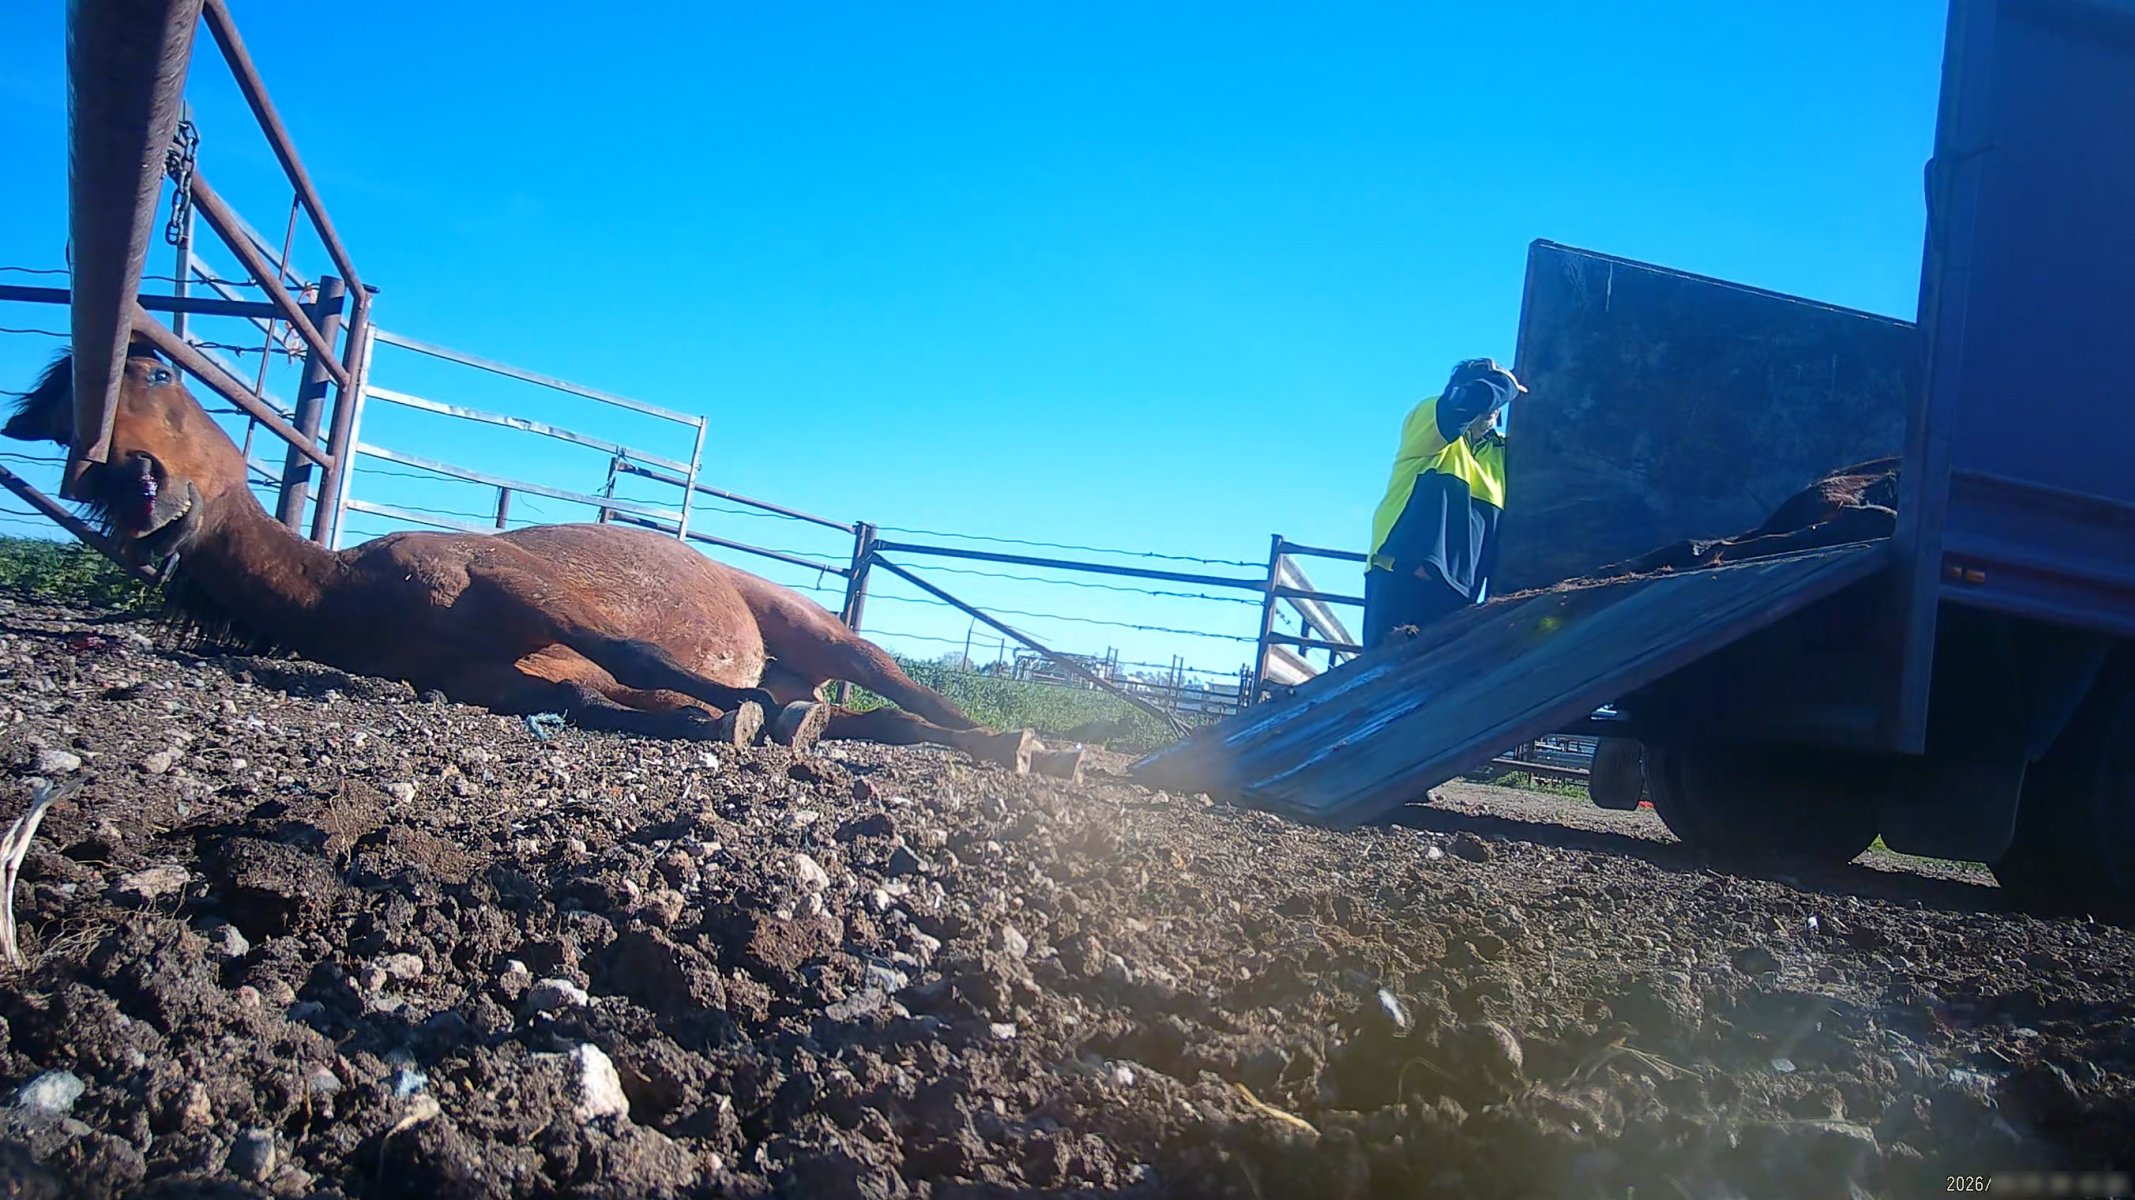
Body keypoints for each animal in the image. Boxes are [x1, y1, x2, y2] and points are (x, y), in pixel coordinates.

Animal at [5, 342, 1063, 774]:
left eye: (153, 370)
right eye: (62, 432)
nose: (140, 495)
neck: (361, 596)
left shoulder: (521, 589)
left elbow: (636, 655)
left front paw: (736, 705)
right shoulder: (509, 683)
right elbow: (608, 700)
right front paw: (727, 718)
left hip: (814, 627)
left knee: (910, 694)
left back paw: (1039, 744)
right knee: (881, 725)